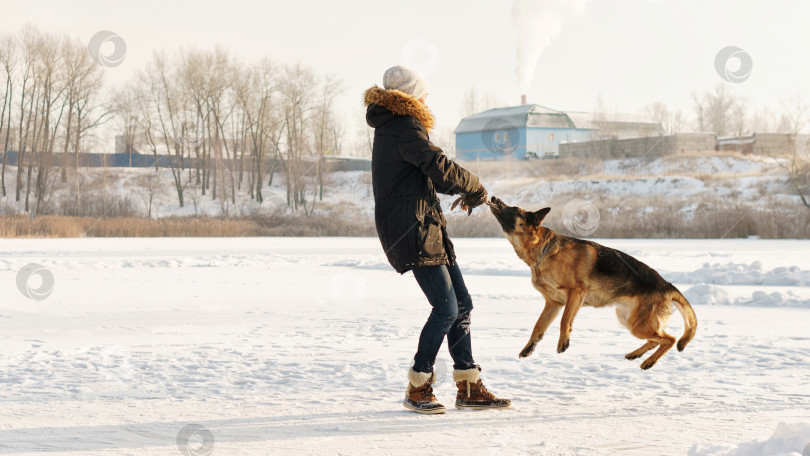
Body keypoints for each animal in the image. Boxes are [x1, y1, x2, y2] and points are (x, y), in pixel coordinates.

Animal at [486, 197, 696, 370]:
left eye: (514, 208)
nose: (493, 197)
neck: (543, 251)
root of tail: (667, 285)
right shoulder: (554, 303)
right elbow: (538, 327)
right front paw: (529, 348)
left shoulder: (575, 294)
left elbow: (564, 321)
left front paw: (563, 342)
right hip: (628, 319)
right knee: (656, 340)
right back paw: (636, 355)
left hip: (637, 324)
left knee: (670, 339)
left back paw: (649, 361)